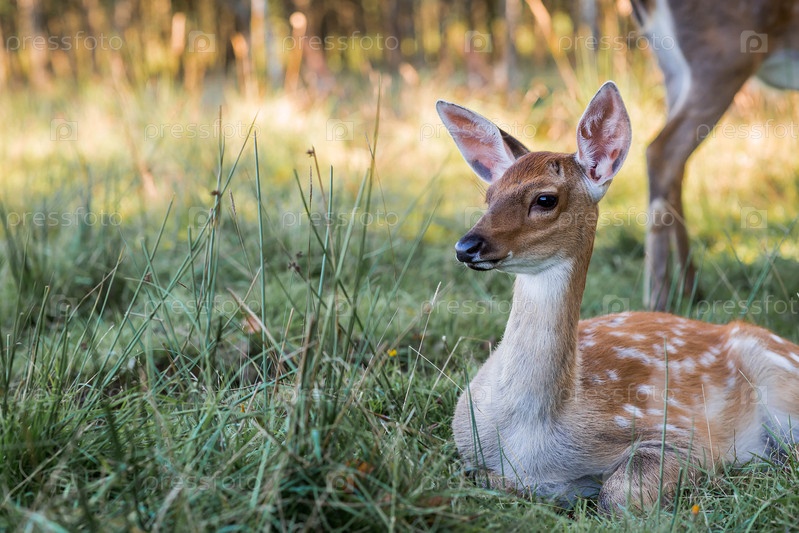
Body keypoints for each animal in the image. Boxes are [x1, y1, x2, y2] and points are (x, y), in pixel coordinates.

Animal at [436, 82, 799, 513]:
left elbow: (617, 494)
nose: (466, 246)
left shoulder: (686, 439)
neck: (529, 441)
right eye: (489, 195)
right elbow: (480, 476)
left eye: (545, 199)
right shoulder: (466, 444)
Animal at [630, 0, 799, 310]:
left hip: (672, 67)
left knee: (676, 164)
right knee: (660, 150)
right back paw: (659, 299)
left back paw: (691, 288)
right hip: (721, 58)